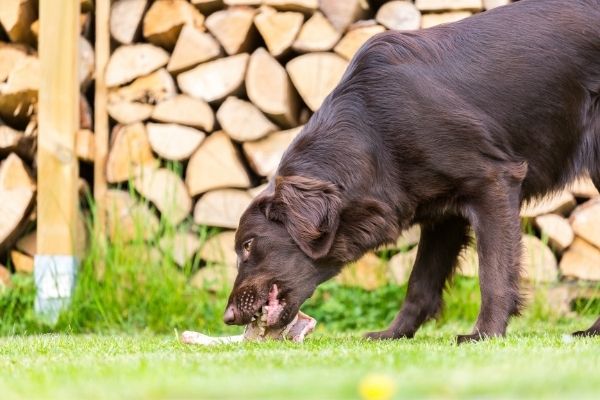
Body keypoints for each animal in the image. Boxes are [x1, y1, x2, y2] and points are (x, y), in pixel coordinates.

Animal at [223, 0, 600, 344]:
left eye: (248, 245)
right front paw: (394, 333)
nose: (228, 316)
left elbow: (492, 273)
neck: (373, 131)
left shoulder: (493, 181)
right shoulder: (443, 214)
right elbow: (419, 283)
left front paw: (485, 333)